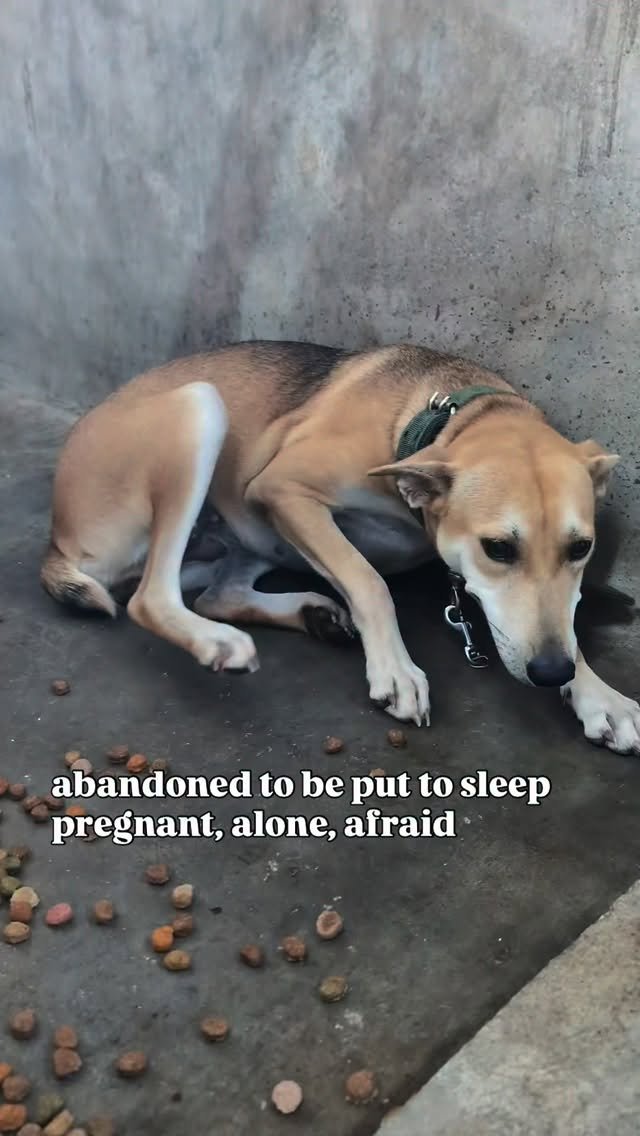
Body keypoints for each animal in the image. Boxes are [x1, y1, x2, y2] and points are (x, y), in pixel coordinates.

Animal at [41, 341, 640, 754]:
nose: (552, 674)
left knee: (216, 592)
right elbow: (368, 580)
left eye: (581, 548)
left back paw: (313, 614)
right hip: (200, 409)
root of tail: (59, 533)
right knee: (151, 598)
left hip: (253, 533)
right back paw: (218, 642)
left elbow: (568, 620)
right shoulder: (282, 488)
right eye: (498, 548)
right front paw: (396, 668)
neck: (444, 418)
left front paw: (597, 693)